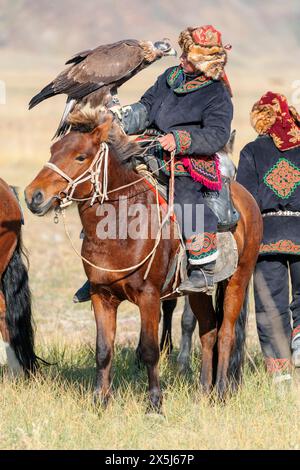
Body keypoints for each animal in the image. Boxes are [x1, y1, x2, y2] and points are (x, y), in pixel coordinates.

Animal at [24, 112, 262, 410]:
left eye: (81, 156)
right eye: (54, 150)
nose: (33, 196)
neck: (122, 224)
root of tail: (246, 199)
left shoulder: (149, 297)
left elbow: (150, 350)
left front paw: (155, 405)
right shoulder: (101, 296)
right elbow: (103, 350)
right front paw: (99, 401)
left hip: (237, 281)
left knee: (226, 333)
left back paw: (219, 393)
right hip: (197, 292)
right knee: (209, 331)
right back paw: (202, 393)